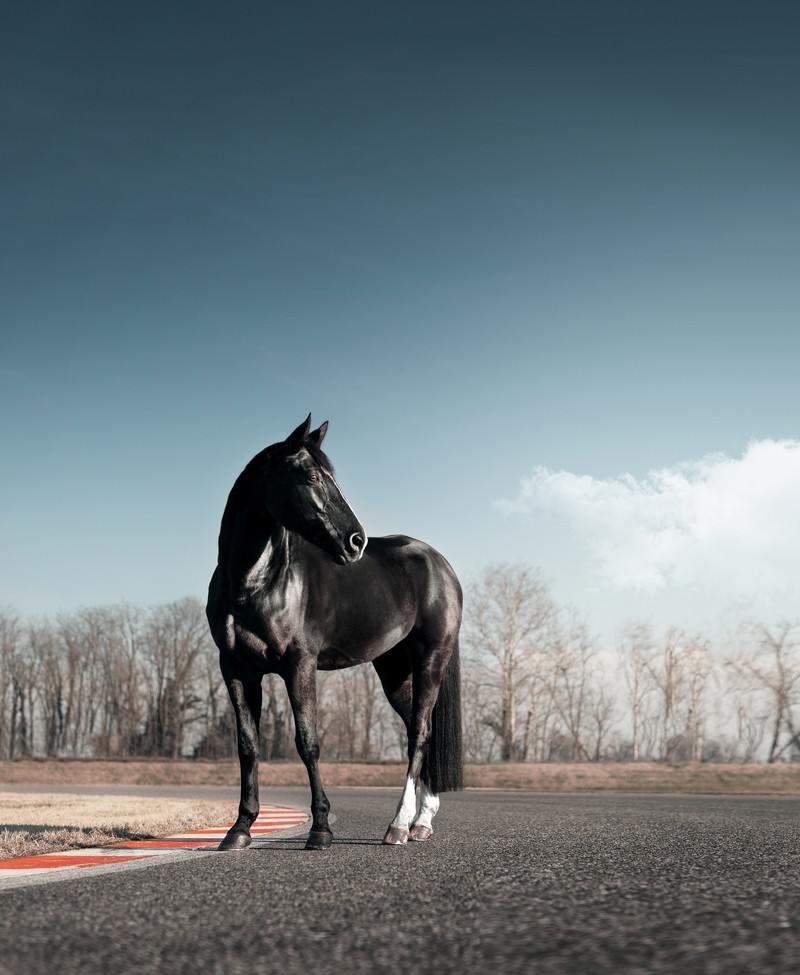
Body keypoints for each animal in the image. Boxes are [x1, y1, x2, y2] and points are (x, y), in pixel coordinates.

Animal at [206, 416, 462, 852]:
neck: (254, 583)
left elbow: (307, 743)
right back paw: (421, 822)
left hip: (431, 659)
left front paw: (321, 828)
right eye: (311, 476)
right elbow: (248, 746)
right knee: (419, 729)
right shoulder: (237, 670)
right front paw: (239, 829)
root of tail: (440, 563)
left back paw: (398, 825)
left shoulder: (299, 665)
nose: (356, 541)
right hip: (394, 670)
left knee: (420, 733)